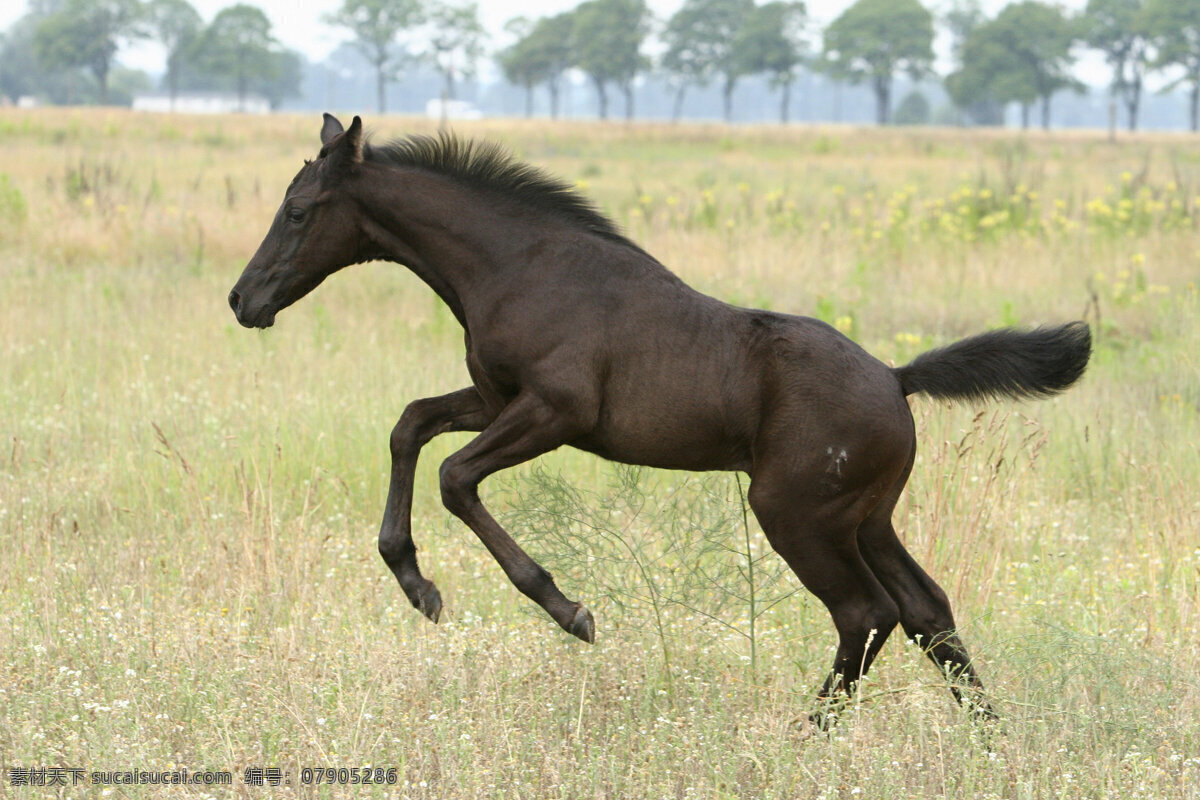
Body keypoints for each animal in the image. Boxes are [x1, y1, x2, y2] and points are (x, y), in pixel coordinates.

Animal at [229, 115, 1094, 724]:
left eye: (299, 211)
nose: (243, 300)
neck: (519, 267)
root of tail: (897, 377)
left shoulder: (555, 411)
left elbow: (454, 476)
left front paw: (568, 610)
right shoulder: (496, 400)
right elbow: (409, 425)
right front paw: (415, 583)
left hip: (796, 512)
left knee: (866, 612)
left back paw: (808, 733)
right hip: (867, 517)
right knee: (925, 610)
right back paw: (989, 731)